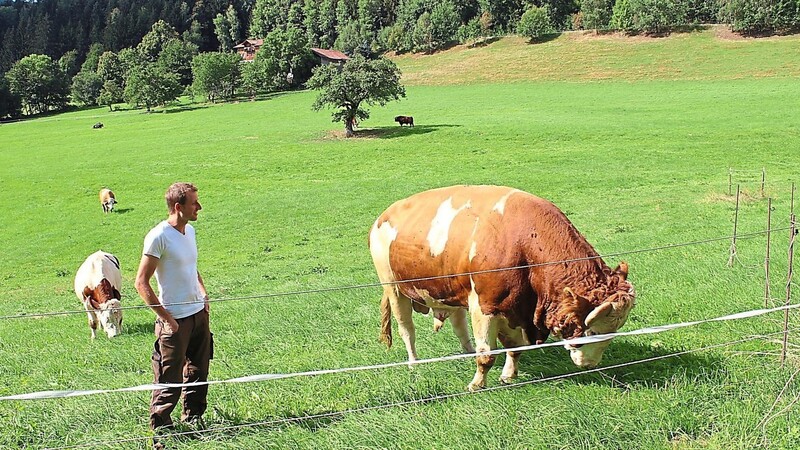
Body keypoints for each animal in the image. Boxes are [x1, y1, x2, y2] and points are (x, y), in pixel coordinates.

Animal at [370, 185, 636, 390]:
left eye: (615, 330)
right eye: (592, 332)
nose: (590, 365)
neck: (523, 245)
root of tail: (384, 214)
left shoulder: (515, 309)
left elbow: (515, 348)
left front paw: (508, 375)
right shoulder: (485, 307)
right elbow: (487, 354)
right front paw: (477, 384)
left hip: (451, 291)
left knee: (458, 324)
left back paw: (466, 351)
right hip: (394, 289)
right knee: (407, 329)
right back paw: (414, 363)